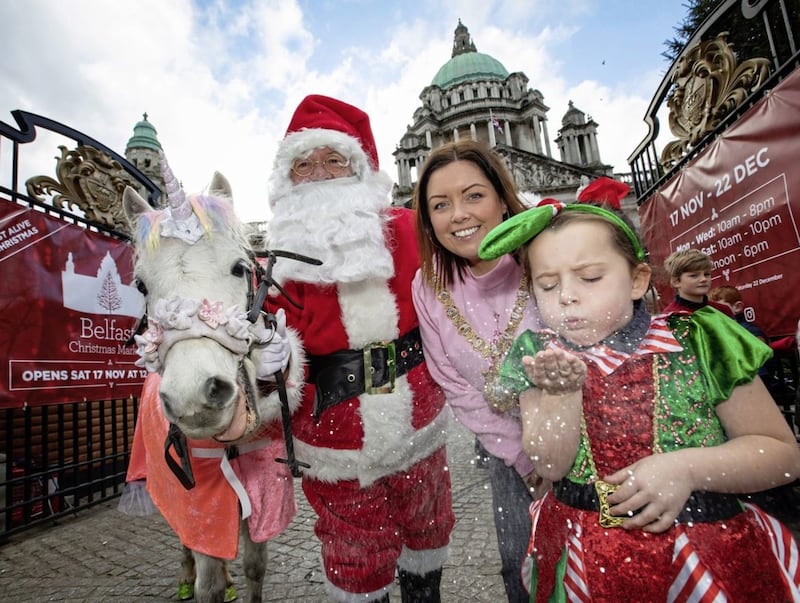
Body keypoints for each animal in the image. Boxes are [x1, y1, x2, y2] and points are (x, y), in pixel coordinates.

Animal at [123, 159, 298, 603]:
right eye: (140, 284)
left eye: (240, 267)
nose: (195, 397)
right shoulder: (201, 505)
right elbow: (209, 580)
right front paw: (202, 579)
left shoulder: (264, 493)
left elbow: (255, 565)